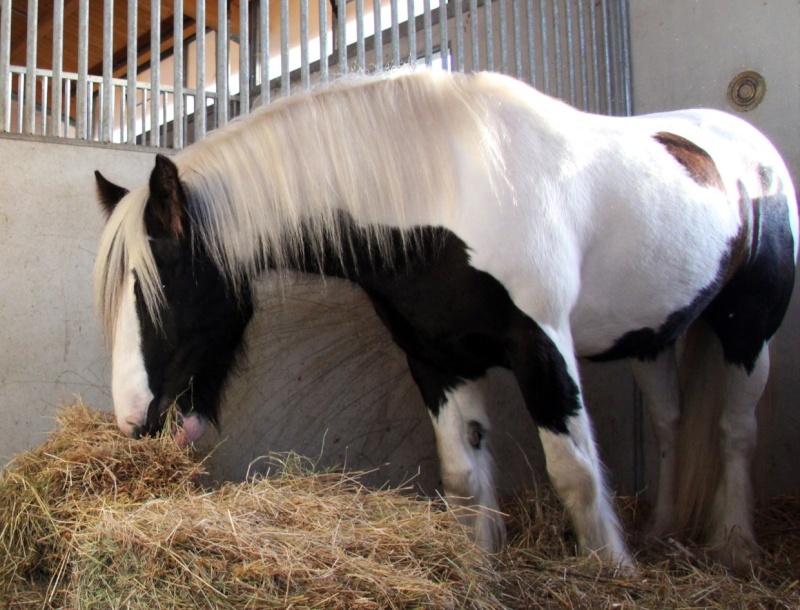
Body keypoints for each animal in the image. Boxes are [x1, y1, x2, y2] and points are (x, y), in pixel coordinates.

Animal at [92, 67, 792, 568]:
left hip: (748, 332)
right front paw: (481, 569)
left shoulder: (543, 347)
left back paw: (735, 549)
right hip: (649, 340)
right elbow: (462, 477)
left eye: (158, 287)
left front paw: (613, 573)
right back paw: (666, 528)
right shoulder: (437, 360)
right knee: (672, 423)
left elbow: (576, 473)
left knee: (736, 430)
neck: (446, 189)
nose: (135, 423)